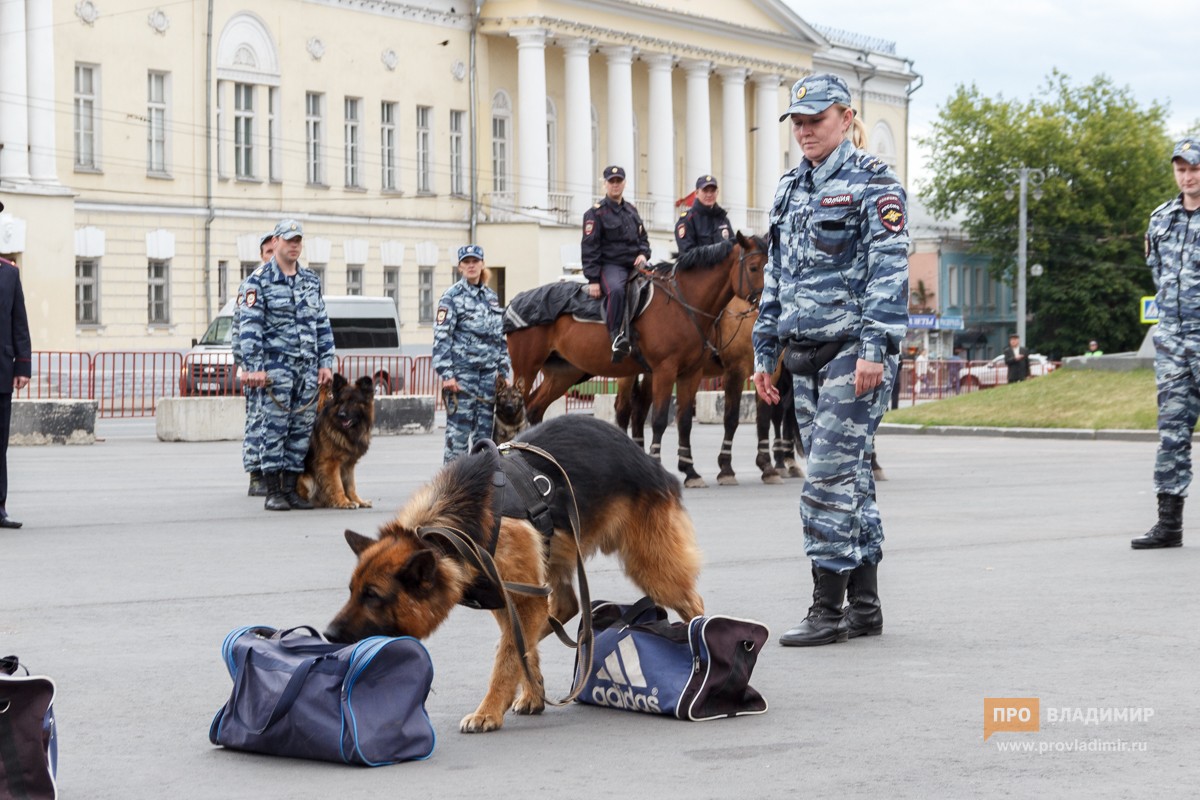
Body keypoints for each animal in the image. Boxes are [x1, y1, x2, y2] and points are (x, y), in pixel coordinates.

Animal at [297, 374, 372, 510]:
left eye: (353, 402)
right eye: (341, 402)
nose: (341, 414)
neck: (342, 430)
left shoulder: (349, 464)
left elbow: (351, 485)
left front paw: (358, 500)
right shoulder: (330, 464)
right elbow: (337, 485)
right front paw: (344, 502)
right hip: (307, 479)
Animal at [324, 417, 705, 734]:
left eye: (373, 596)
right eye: (352, 591)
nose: (328, 634)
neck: (451, 531)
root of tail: (653, 465)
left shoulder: (521, 597)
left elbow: (507, 656)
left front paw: (489, 711)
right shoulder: (508, 596)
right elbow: (515, 644)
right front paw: (530, 692)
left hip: (653, 568)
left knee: (692, 602)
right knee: (564, 606)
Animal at [501, 232, 763, 489]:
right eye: (753, 267)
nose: (763, 305)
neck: (684, 303)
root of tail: (516, 301)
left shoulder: (692, 373)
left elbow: (685, 421)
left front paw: (691, 471)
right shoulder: (668, 370)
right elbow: (660, 420)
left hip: (563, 374)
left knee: (536, 408)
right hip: (527, 369)